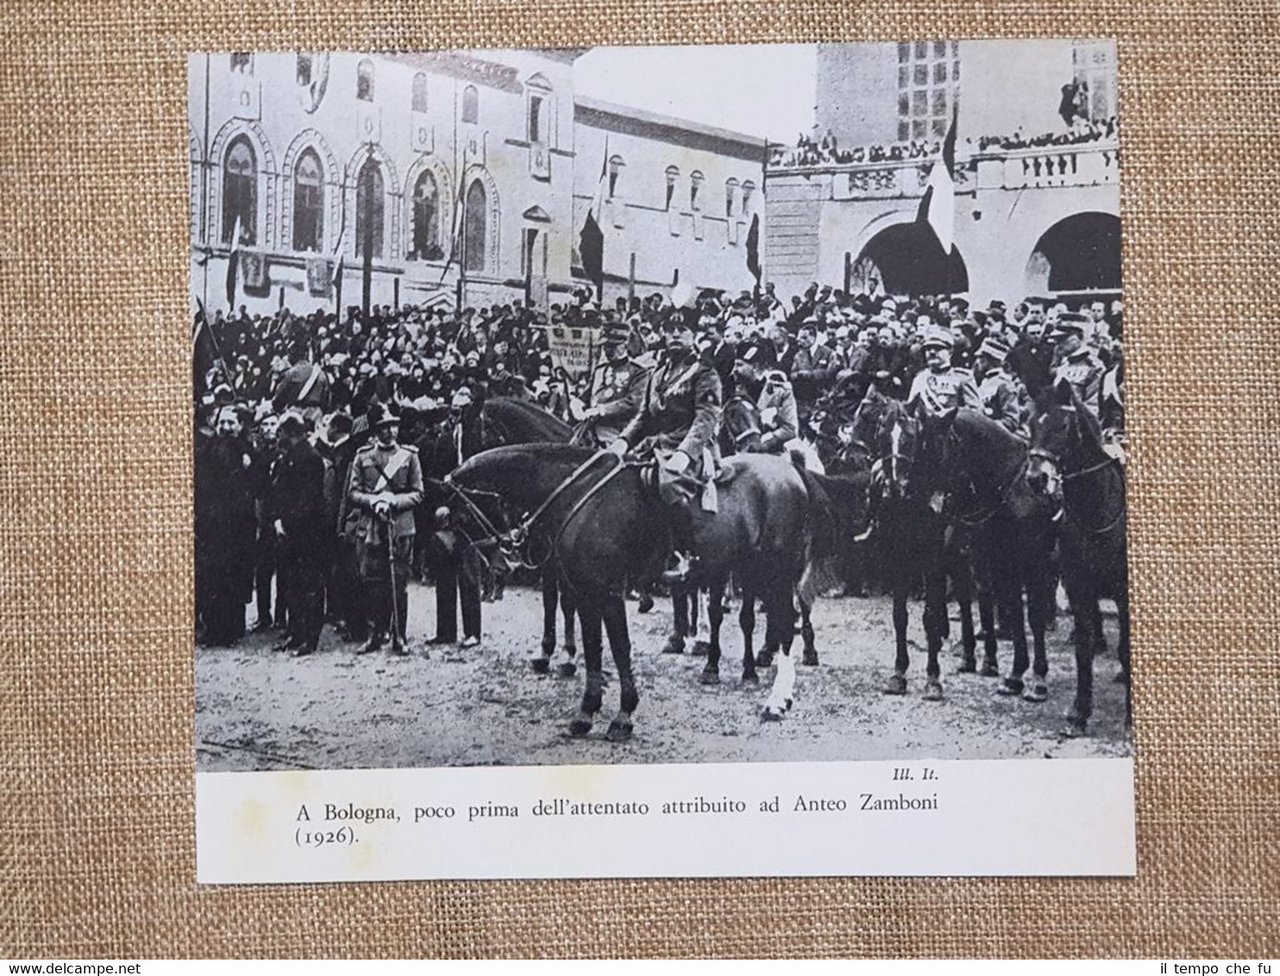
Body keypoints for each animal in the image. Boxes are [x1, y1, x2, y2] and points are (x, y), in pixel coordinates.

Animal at [450, 445, 819, 732]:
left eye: (462, 515)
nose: (501, 567)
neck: (579, 496)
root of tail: (791, 471)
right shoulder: (585, 592)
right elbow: (593, 646)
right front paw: (586, 711)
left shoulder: (609, 591)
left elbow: (620, 647)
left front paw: (623, 715)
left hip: (775, 572)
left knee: (785, 624)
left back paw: (775, 700)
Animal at [481, 394, 581, 676]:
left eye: (484, 432)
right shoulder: (545, 554)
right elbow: (550, 600)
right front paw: (545, 652)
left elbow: (567, 601)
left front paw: (569, 655)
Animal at [1029, 384, 1131, 732]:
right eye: (1032, 424)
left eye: (1063, 426)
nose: (1036, 478)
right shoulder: (1079, 588)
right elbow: (1083, 648)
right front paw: (1079, 711)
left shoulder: (1123, 592)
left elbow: (1125, 646)